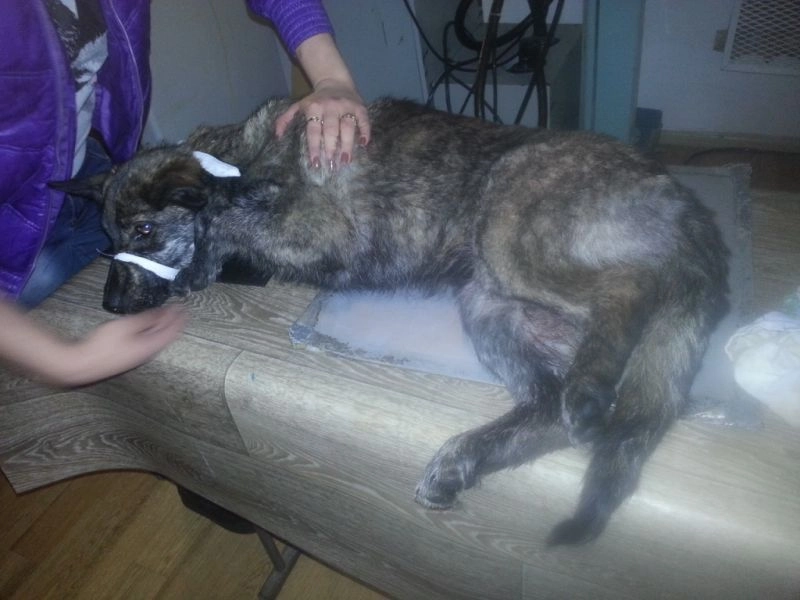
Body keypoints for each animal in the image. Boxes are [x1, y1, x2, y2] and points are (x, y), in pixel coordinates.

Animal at [59, 98, 729, 545]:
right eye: (107, 242)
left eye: (145, 230)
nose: (108, 306)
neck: (241, 158)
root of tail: (691, 214)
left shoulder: (320, 226)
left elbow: (224, 219)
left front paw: (206, 252)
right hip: (491, 306)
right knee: (555, 408)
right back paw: (467, 457)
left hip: (510, 227)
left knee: (628, 293)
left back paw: (584, 391)